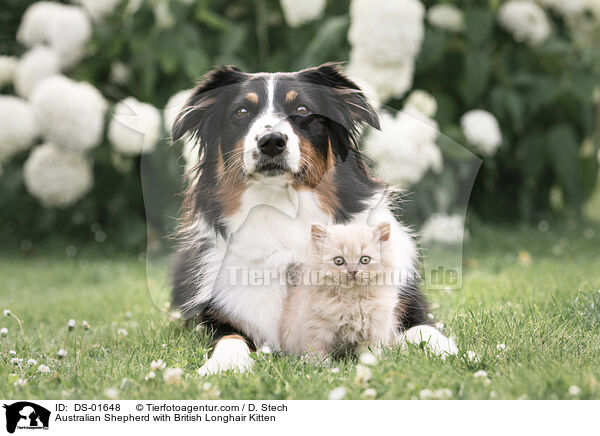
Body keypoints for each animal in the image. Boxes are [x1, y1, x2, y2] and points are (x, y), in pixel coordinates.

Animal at [280, 223, 398, 360]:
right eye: (338, 261)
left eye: (365, 260)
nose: (353, 271)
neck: (352, 300)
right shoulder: (316, 332)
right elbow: (319, 355)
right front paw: (320, 365)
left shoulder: (374, 330)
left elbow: (370, 354)